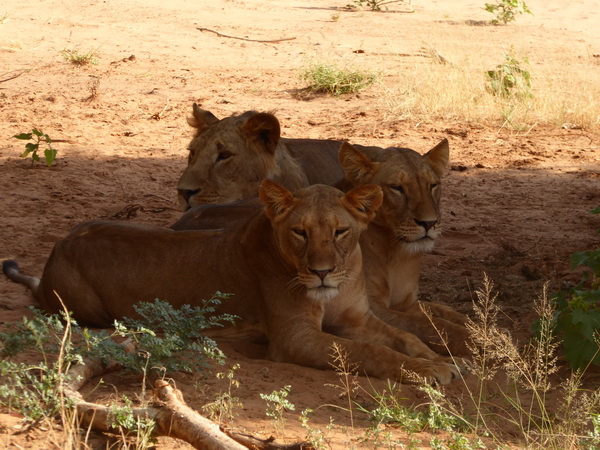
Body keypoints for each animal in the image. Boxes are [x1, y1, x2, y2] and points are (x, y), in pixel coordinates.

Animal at [4, 181, 462, 384]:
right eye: (300, 232)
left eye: (340, 232)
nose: (321, 272)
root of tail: (56, 251)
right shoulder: (294, 338)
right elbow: (368, 353)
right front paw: (429, 371)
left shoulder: (356, 318)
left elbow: (404, 338)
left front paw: (439, 360)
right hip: (86, 309)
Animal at [340, 141, 472, 356]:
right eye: (397, 188)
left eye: (433, 185)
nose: (429, 223)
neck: (395, 253)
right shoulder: (370, 307)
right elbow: (428, 325)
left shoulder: (406, 303)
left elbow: (443, 312)